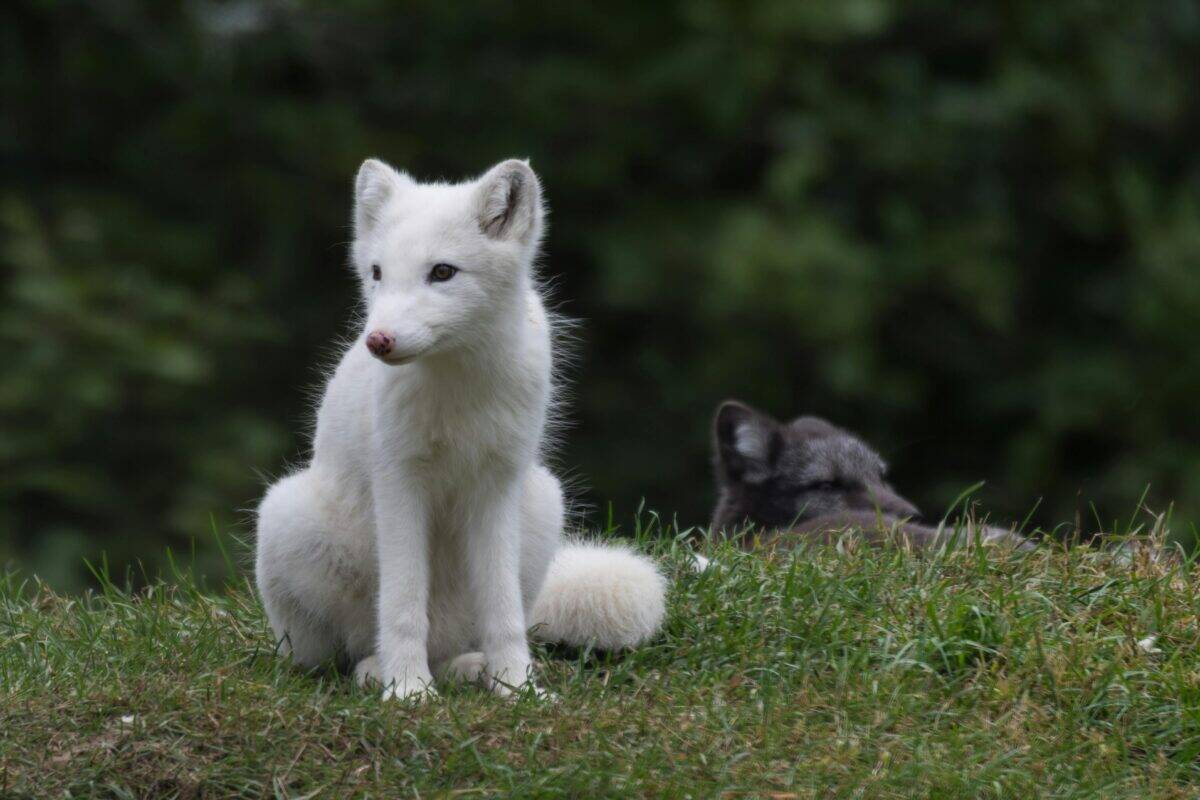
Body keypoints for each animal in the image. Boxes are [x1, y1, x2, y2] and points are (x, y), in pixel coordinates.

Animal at [255, 158, 666, 702]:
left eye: (442, 272)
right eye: (377, 273)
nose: (378, 340)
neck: (458, 384)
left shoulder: (497, 485)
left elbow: (504, 612)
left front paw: (519, 688)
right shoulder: (399, 482)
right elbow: (403, 606)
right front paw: (408, 691)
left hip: (544, 501)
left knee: (473, 638)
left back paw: (470, 669)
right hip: (286, 515)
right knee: (333, 657)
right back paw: (377, 671)